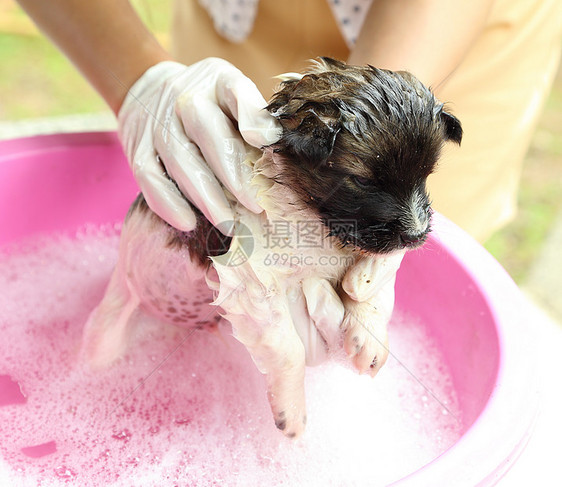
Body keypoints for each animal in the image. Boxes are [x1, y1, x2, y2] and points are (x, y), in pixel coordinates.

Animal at [82, 57, 460, 438]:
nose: (415, 235)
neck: (309, 219)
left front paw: (370, 337)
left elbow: (370, 289)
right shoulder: (251, 282)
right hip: (115, 314)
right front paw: (291, 412)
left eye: (426, 174)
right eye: (363, 181)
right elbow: (289, 348)